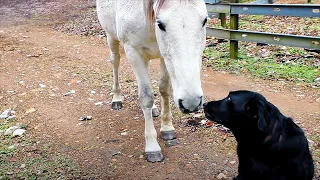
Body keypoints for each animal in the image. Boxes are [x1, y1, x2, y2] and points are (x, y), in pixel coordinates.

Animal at [96, 0, 208, 162]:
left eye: (204, 20)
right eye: (160, 24)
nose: (191, 102)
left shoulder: (164, 56)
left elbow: (164, 90)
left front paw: (167, 128)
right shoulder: (133, 52)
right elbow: (146, 97)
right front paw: (152, 146)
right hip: (111, 37)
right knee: (115, 61)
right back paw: (116, 98)